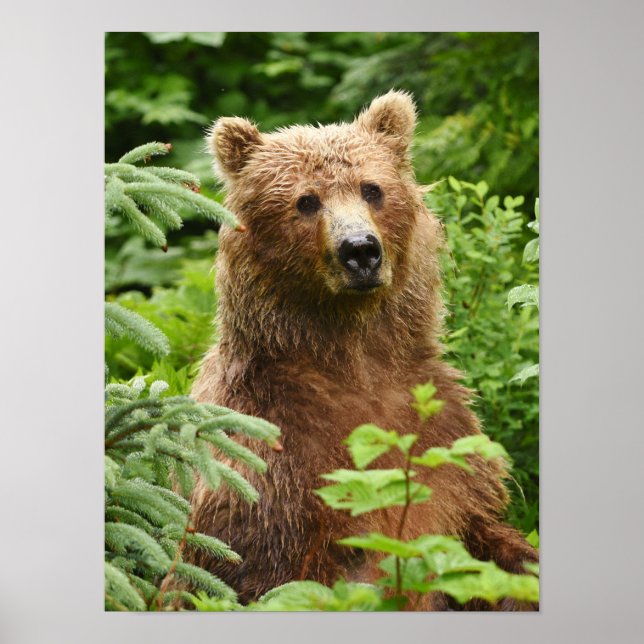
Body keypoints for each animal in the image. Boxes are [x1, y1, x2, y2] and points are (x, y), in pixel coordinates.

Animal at [188, 91, 538, 610]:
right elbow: (265, 571)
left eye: (372, 189)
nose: (360, 250)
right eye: (306, 200)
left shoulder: (443, 439)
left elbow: (481, 538)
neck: (354, 357)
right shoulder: (267, 453)